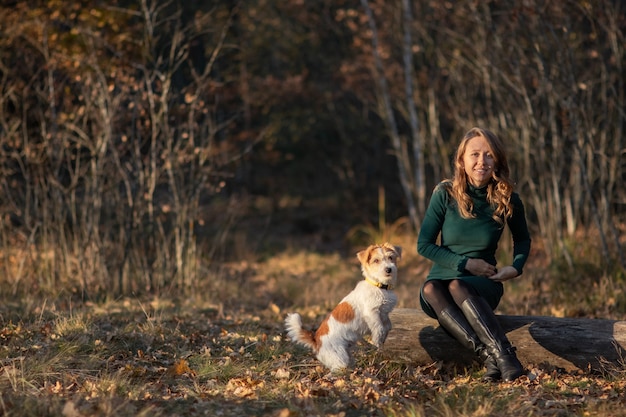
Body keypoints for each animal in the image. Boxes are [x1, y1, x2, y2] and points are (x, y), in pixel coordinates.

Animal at [282, 240, 400, 370]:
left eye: (391, 258)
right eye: (376, 260)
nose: (389, 269)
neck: (378, 286)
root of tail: (316, 340)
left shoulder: (384, 313)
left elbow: (387, 324)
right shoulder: (371, 312)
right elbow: (379, 328)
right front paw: (378, 340)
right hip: (339, 357)